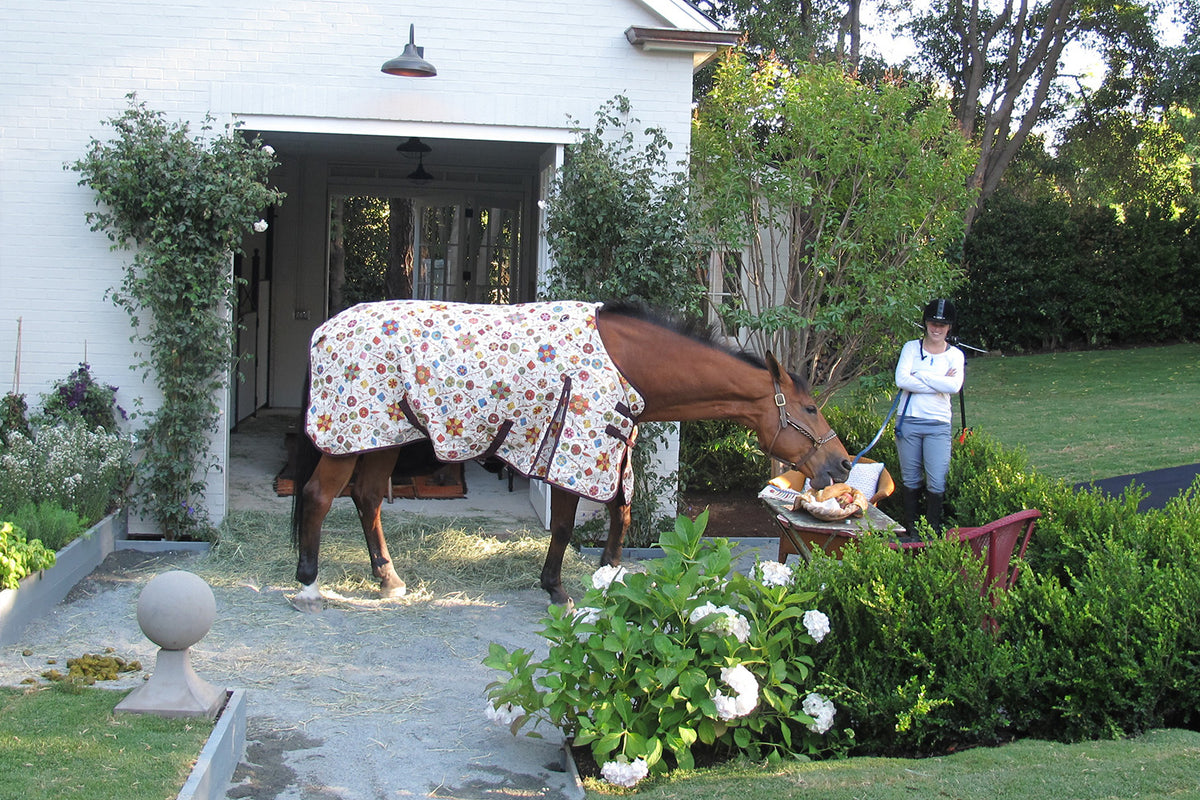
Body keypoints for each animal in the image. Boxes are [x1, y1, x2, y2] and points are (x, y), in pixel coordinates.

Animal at [289, 299, 851, 612]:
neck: (627, 362)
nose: (842, 464)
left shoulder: (613, 449)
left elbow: (621, 515)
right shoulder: (573, 449)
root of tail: (321, 331)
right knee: (319, 497)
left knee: (367, 499)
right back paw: (309, 588)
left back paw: (388, 581)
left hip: (381, 439)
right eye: (808, 407)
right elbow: (563, 525)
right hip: (350, 440)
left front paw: (609, 579)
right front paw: (558, 589)